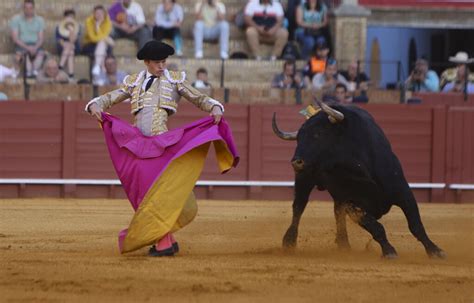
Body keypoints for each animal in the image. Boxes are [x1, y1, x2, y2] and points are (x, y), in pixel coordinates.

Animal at [272, 103, 446, 260]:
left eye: (318, 134)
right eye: (298, 138)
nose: (296, 162)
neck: (358, 166)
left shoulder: (403, 192)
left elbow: (416, 225)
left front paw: (435, 250)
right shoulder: (353, 204)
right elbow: (376, 227)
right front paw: (389, 251)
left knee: (337, 211)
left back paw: (343, 245)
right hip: (304, 179)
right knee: (299, 207)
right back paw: (289, 242)